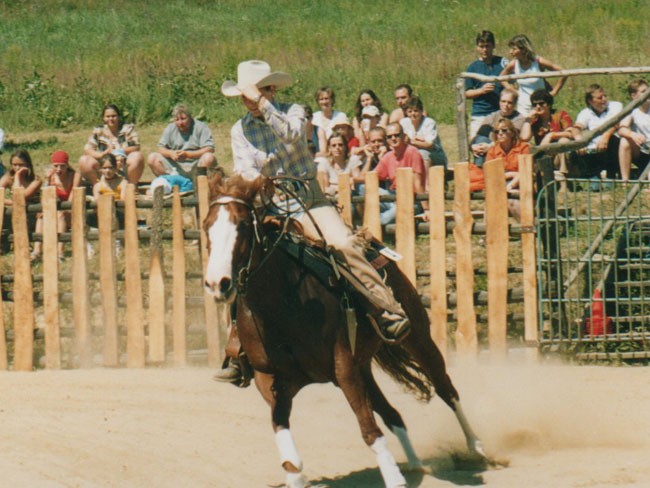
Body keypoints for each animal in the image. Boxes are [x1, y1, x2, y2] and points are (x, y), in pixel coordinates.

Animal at [203, 174, 486, 488]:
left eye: (242, 225)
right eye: (206, 226)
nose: (217, 283)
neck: (284, 302)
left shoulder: (344, 366)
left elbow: (369, 430)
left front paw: (393, 479)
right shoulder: (271, 380)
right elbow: (288, 450)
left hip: (417, 337)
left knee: (446, 389)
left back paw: (475, 447)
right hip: (364, 368)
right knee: (392, 413)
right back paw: (414, 464)